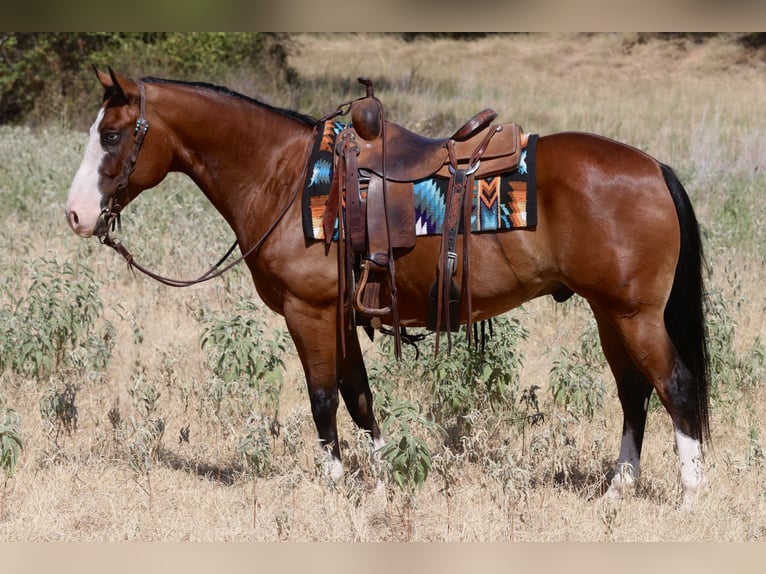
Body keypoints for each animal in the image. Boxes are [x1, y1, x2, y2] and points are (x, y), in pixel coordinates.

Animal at [65, 68, 710, 507]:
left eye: (114, 136)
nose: (76, 215)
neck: (285, 177)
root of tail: (655, 168)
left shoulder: (308, 312)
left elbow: (323, 399)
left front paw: (334, 484)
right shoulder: (340, 316)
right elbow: (359, 398)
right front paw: (382, 478)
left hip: (634, 315)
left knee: (675, 386)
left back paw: (689, 495)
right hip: (609, 313)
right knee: (634, 393)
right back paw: (618, 489)